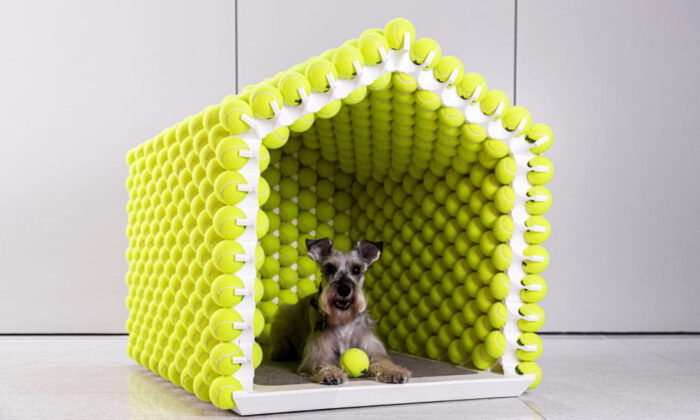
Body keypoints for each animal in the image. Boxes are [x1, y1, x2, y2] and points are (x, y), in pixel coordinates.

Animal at [268, 238, 410, 386]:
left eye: (356, 269)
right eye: (330, 268)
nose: (344, 289)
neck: (343, 320)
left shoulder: (373, 349)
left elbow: (383, 361)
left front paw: (395, 371)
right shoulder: (318, 353)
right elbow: (323, 363)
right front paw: (331, 373)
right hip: (284, 314)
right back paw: (279, 352)